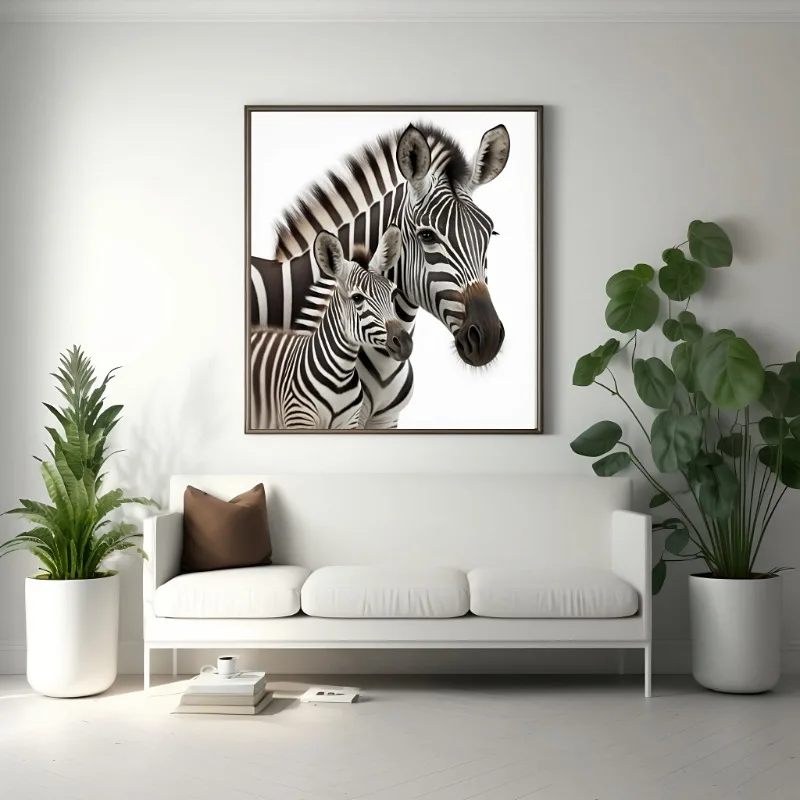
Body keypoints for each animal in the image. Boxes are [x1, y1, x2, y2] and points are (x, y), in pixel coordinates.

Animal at [250, 226, 412, 430]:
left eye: (393, 294)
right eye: (357, 298)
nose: (405, 343)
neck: (340, 378)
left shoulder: (351, 422)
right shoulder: (298, 418)